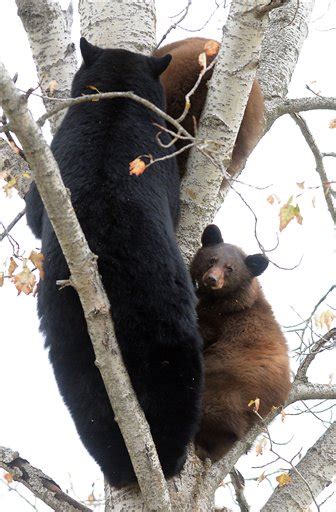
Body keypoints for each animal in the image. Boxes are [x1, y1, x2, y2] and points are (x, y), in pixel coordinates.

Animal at [25, 38, 202, 486]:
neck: (114, 101)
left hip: (66, 323)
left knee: (85, 393)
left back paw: (120, 465)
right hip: (162, 309)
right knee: (174, 375)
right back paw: (167, 458)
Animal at [190, 224, 290, 460]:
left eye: (230, 269)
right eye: (211, 260)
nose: (211, 279)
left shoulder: (221, 321)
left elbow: (202, 331)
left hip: (223, 390)